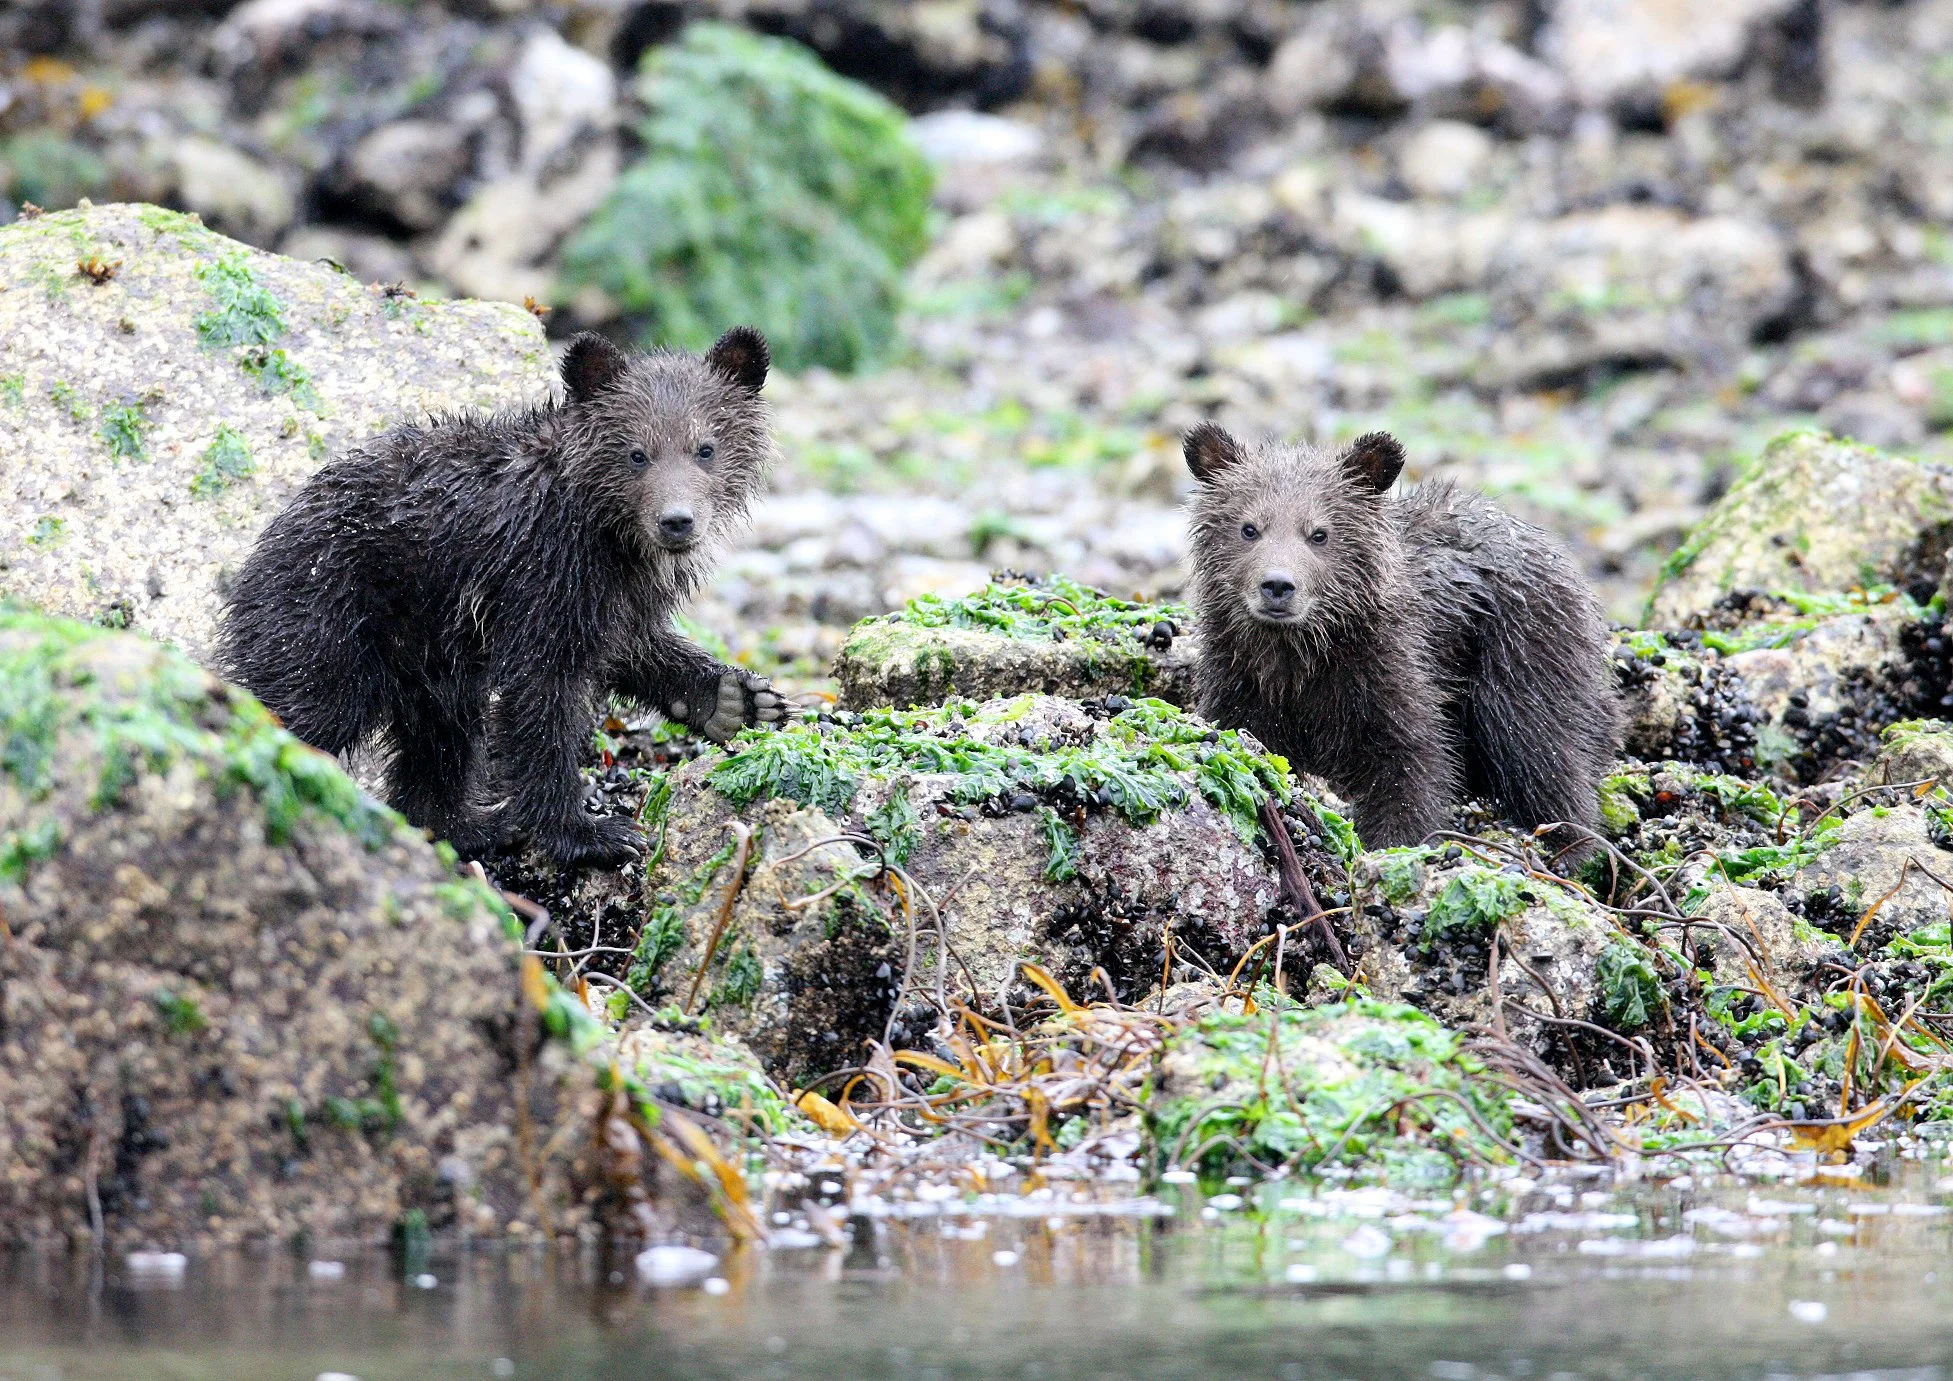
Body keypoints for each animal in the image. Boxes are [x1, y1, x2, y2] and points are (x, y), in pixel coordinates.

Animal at [217, 327, 789, 866]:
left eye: (705, 448)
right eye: (637, 454)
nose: (676, 520)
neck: (608, 534)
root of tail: (258, 553)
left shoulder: (613, 594)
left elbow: (630, 644)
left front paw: (735, 698)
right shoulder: (539, 571)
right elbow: (540, 694)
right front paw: (590, 833)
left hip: (425, 650)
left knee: (439, 733)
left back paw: (464, 823)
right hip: (330, 614)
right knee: (307, 704)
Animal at [1184, 423, 1620, 853]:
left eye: (1319, 533)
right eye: (1249, 528)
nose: (1277, 584)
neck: (1304, 653)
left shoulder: (1389, 672)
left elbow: (1411, 761)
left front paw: (1394, 844)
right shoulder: (1244, 681)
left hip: (1523, 649)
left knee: (1540, 748)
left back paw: (1566, 844)